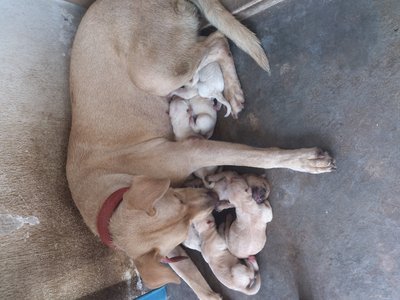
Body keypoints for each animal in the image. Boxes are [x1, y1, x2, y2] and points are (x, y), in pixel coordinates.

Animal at [67, 0, 336, 298]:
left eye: (178, 197)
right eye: (184, 224)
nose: (212, 198)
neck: (111, 199)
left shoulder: (194, 151)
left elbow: (258, 156)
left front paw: (304, 160)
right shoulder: (169, 250)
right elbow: (193, 280)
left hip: (154, 75)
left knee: (216, 40)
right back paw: (231, 91)